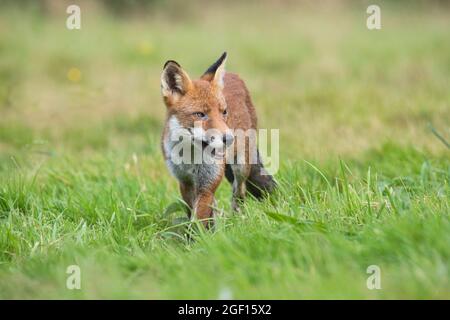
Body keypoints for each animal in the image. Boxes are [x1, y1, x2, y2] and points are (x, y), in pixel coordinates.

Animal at [161, 52, 274, 226]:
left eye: (224, 112)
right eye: (200, 114)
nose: (229, 138)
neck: (190, 158)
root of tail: (233, 75)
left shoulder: (208, 183)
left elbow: (199, 217)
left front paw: (200, 233)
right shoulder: (185, 182)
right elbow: (192, 212)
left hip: (241, 167)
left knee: (239, 191)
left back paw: (237, 217)